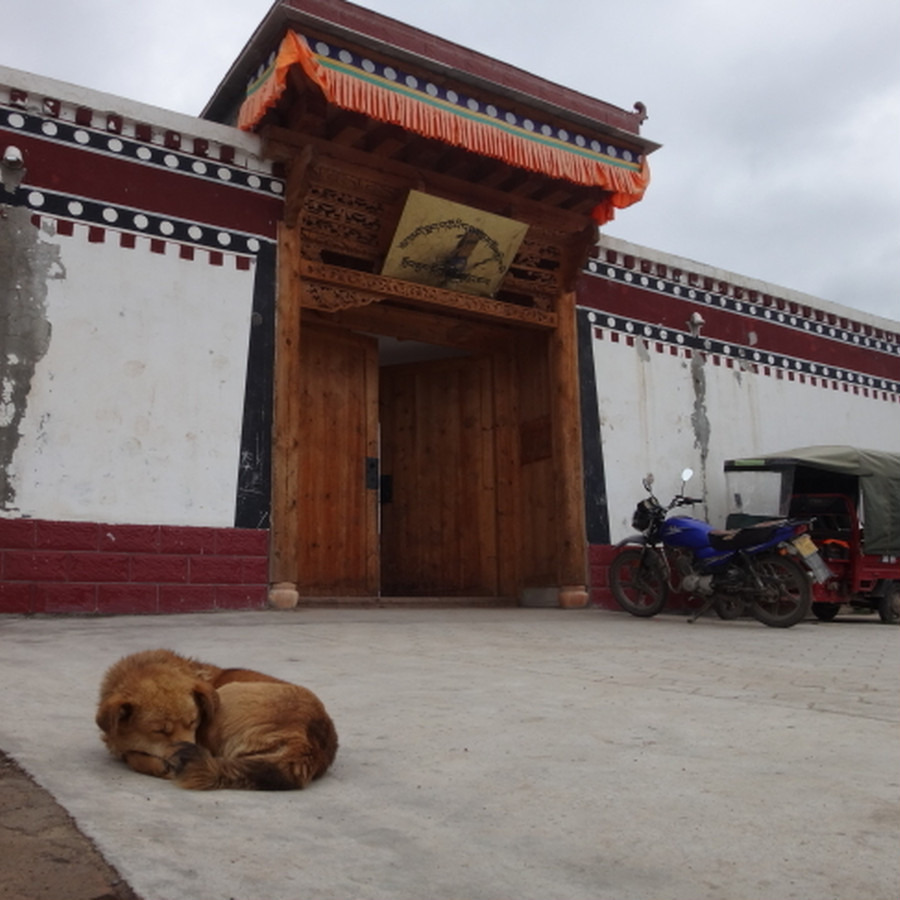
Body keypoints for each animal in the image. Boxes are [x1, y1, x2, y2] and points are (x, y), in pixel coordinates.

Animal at [96, 652, 338, 792]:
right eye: (160, 731)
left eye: (194, 722)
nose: (184, 757)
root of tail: (307, 746)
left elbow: (132, 757)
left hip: (228, 694)